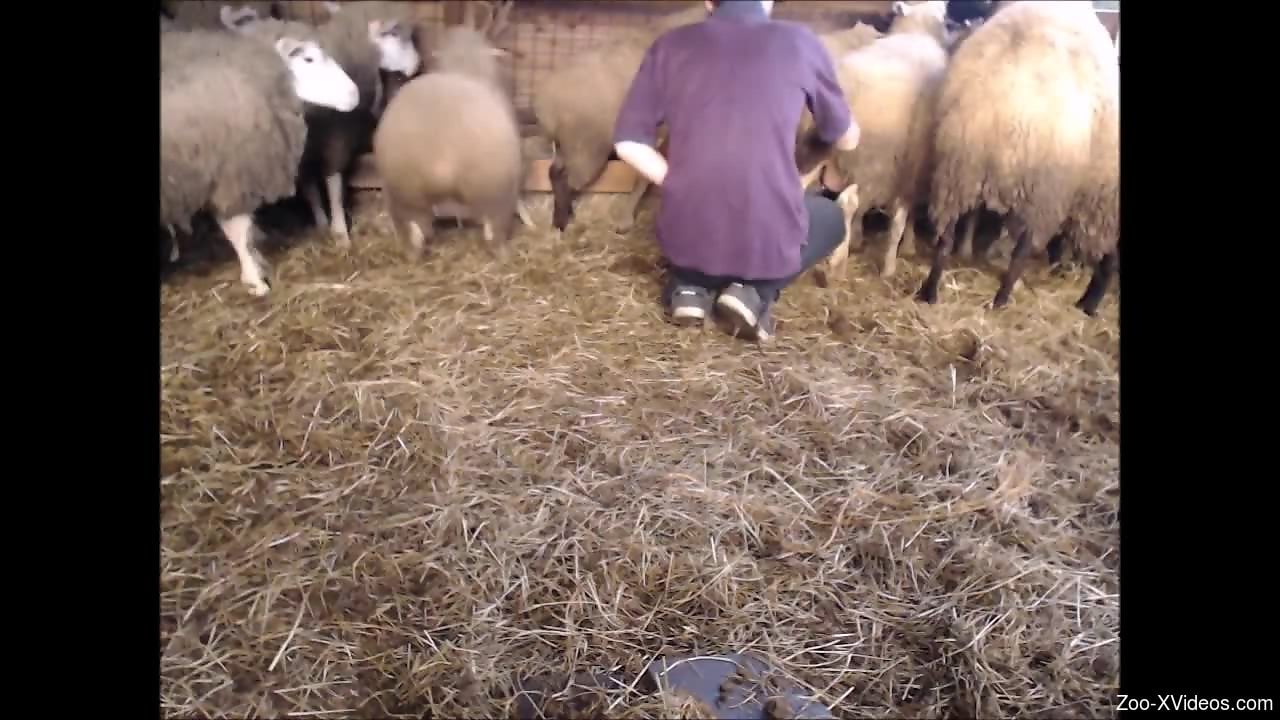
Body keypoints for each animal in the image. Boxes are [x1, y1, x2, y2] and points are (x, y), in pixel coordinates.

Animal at [160, 28, 359, 296]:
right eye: (308, 59)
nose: (354, 94)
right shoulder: (235, 170)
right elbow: (238, 231)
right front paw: (255, 280)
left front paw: (257, 263)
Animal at [372, 19, 524, 260]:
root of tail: (441, 166)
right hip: (497, 191)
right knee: (493, 235)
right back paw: (503, 255)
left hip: (403, 194)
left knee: (415, 236)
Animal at [534, 3, 710, 233]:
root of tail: (545, 105)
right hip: (586, 147)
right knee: (566, 178)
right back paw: (562, 221)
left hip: (569, 146)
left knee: (554, 172)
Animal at [917, 0, 1120, 315]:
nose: (949, 10)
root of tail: (1008, 111)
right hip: (1042, 194)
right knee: (1022, 253)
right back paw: (1008, 300)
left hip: (957, 173)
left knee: (945, 239)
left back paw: (930, 292)